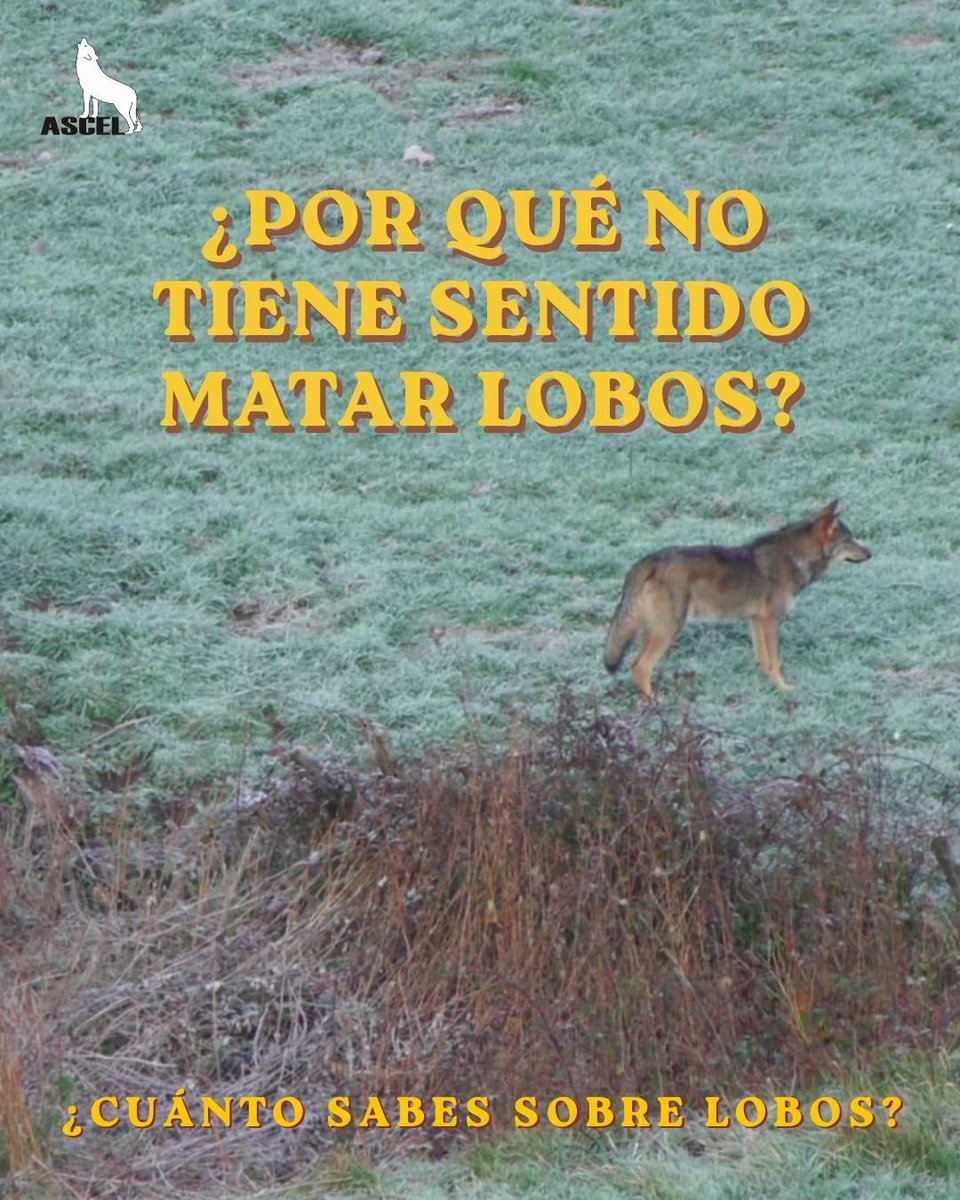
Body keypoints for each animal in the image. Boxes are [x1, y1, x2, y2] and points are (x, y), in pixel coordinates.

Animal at [604, 501, 871, 698]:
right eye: (850, 540)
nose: (870, 553)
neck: (794, 559)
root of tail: (648, 561)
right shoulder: (771, 621)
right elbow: (776, 662)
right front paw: (783, 689)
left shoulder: (756, 621)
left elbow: (763, 661)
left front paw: (765, 686)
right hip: (668, 631)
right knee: (640, 667)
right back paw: (655, 703)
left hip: (653, 631)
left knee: (634, 665)